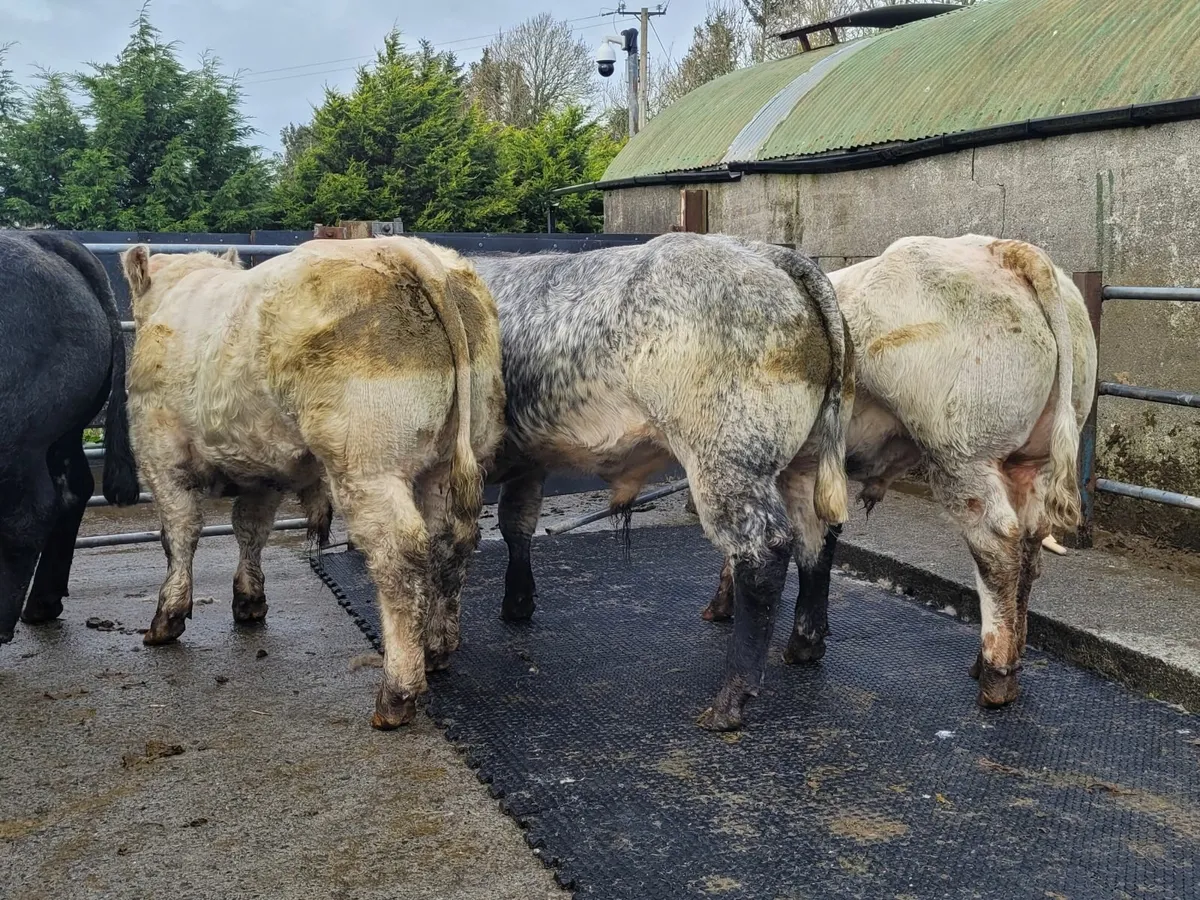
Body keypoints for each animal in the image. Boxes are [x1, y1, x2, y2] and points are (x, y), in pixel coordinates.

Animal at [0, 232, 140, 648]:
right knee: (74, 487)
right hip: (60, 432)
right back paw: (41, 604)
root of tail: (38, 238)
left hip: (17, 435)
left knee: (28, 515)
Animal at [120, 236, 505, 730]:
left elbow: (179, 535)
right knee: (451, 542)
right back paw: (436, 647)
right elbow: (250, 528)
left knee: (399, 554)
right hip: (449, 459)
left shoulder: (161, 455)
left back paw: (396, 693)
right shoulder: (259, 469)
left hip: (367, 464)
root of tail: (410, 252)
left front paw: (167, 617)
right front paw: (249, 599)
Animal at [472, 232, 852, 731]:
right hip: (804, 459)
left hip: (726, 457)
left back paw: (730, 701)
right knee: (817, 537)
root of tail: (766, 252)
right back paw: (805, 645)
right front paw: (517, 604)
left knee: (764, 550)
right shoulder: (527, 460)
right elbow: (516, 523)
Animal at [702, 234, 1098, 710]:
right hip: (1031, 462)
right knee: (1030, 548)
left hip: (961, 454)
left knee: (997, 545)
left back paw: (995, 676)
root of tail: (1003, 250)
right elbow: (818, 540)